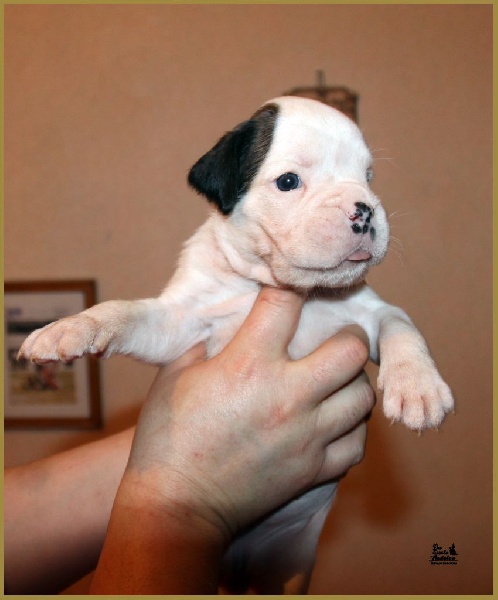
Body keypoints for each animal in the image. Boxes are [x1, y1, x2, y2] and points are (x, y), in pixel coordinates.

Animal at [19, 96, 454, 593]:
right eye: (289, 182)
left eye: (367, 177)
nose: (364, 210)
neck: (279, 286)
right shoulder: (177, 320)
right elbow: (123, 311)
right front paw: (72, 327)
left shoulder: (369, 312)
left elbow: (401, 326)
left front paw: (419, 389)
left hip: (288, 563)